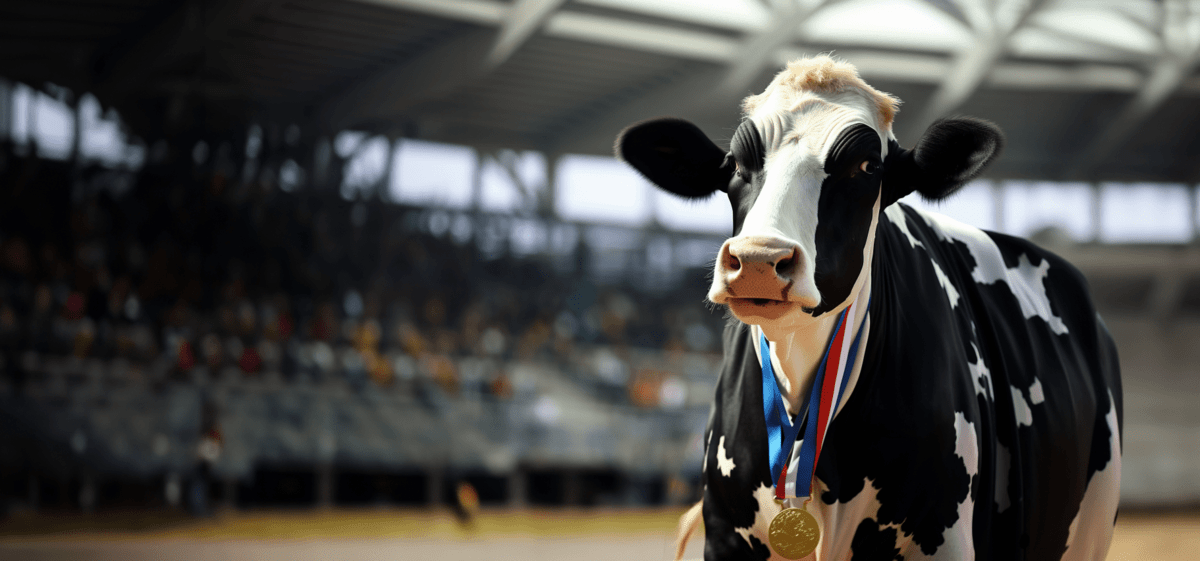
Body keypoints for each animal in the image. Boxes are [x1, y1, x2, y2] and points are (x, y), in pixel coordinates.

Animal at [616, 55, 1122, 560]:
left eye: (866, 166)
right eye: (738, 164)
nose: (759, 260)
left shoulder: (941, 536)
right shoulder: (725, 534)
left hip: (1091, 527)